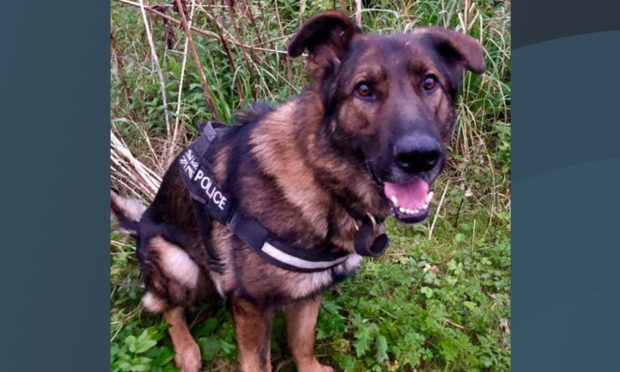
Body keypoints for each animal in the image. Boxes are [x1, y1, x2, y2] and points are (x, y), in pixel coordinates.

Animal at [112, 10, 490, 370]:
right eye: (364, 89)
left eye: (429, 83)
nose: (420, 156)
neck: (322, 178)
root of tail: (140, 225)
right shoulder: (251, 305)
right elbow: (259, 363)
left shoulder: (310, 291)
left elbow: (302, 340)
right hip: (177, 262)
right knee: (166, 307)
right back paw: (188, 351)